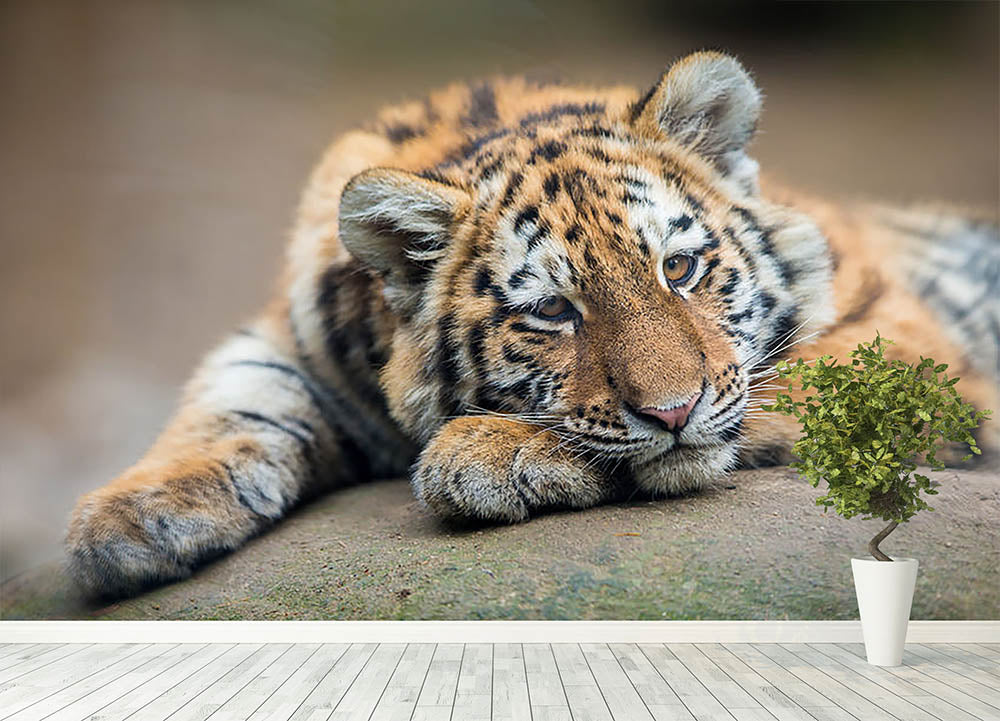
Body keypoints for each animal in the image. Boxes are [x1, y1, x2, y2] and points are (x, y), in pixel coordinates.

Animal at [65, 51, 999, 599]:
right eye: (552, 311)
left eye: (679, 268)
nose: (674, 411)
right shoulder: (294, 341)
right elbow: (236, 395)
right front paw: (130, 517)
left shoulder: (899, 339)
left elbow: (785, 386)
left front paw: (488, 453)